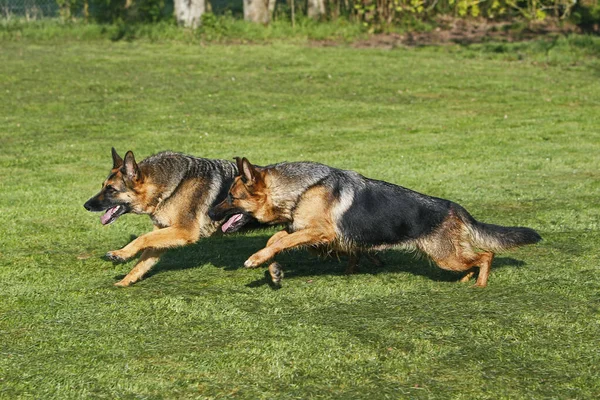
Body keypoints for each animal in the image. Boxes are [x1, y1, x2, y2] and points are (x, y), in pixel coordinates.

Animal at [84, 148, 253, 286]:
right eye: (102, 186)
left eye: (111, 189)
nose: (86, 205)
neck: (169, 187)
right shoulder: (164, 231)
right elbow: (143, 259)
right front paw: (126, 281)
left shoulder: (183, 231)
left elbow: (142, 238)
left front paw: (121, 253)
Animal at [209, 158, 540, 286]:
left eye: (231, 196)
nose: (210, 214)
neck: (301, 189)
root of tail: (453, 207)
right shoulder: (306, 231)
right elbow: (277, 239)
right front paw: (270, 264)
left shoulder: (320, 232)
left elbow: (282, 239)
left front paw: (256, 259)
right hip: (447, 256)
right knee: (474, 258)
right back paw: (465, 280)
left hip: (445, 257)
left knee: (487, 255)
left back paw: (480, 284)